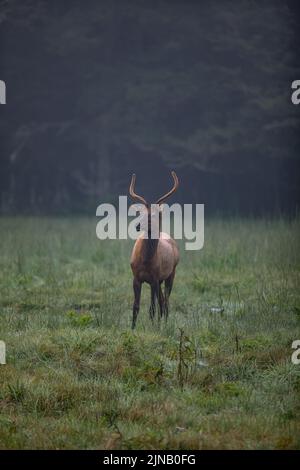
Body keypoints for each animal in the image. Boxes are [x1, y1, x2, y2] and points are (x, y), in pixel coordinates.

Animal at [128, 171, 178, 328]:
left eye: (155, 215)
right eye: (141, 213)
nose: (137, 226)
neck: (146, 260)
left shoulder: (154, 278)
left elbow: (152, 308)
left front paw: (153, 327)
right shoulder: (136, 277)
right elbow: (136, 306)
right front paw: (132, 328)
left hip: (171, 274)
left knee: (165, 302)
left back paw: (164, 324)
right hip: (161, 280)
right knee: (162, 301)